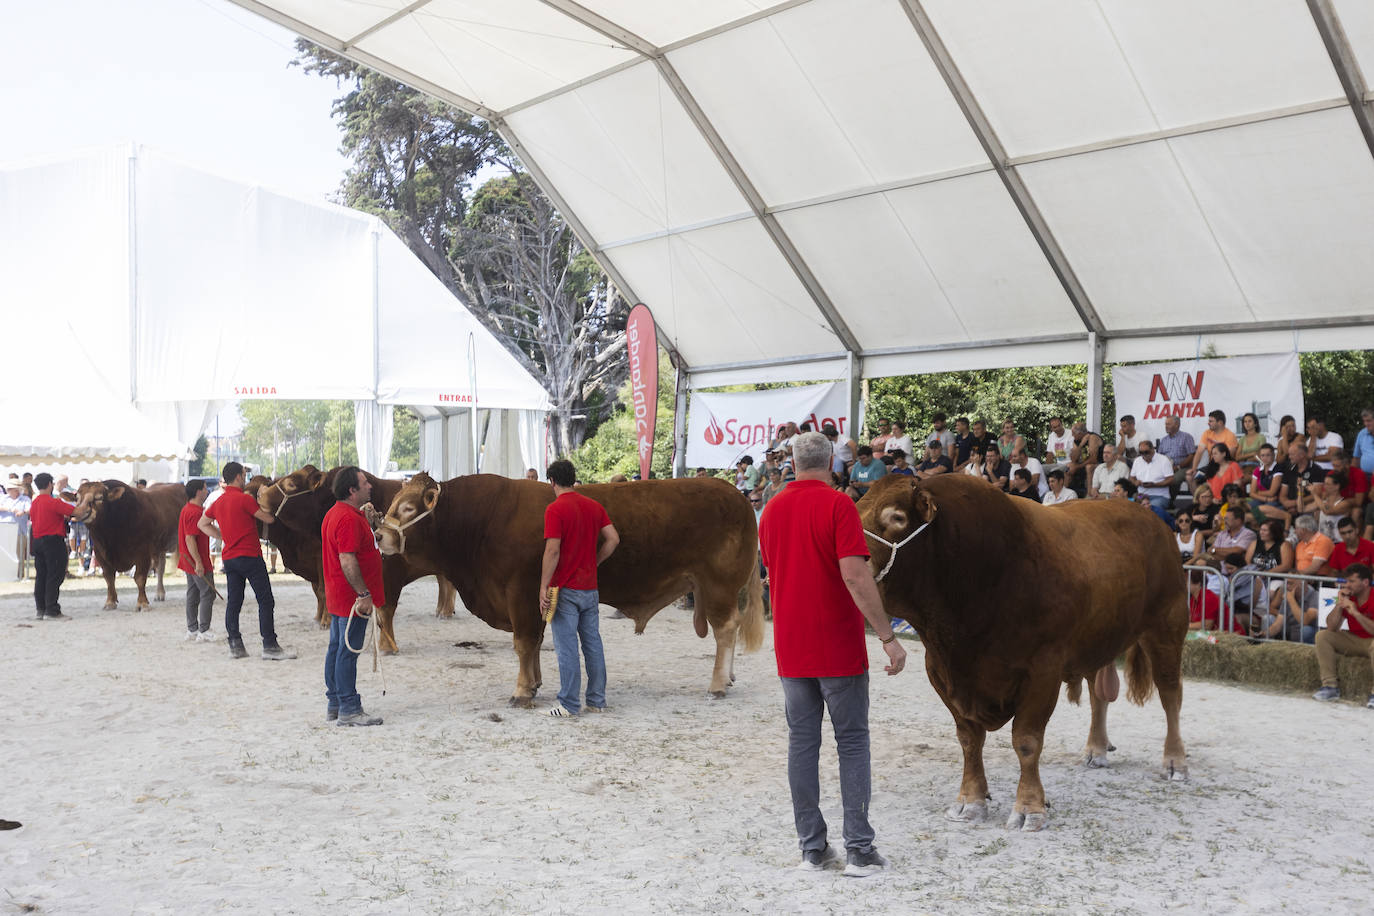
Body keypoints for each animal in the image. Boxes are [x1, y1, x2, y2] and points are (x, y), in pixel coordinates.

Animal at [71, 480, 188, 609]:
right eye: (77, 498)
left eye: (99, 497)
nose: (80, 512)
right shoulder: (99, 553)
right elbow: (109, 577)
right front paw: (110, 602)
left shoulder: (143, 552)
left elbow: (140, 578)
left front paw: (142, 603)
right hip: (160, 546)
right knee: (161, 567)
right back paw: (159, 593)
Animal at [262, 466, 461, 650]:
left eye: (290, 483)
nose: (261, 494)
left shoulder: (391, 568)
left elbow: (384, 606)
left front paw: (386, 645)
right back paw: (442, 610)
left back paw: (445, 611)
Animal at [376, 469, 763, 708]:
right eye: (393, 503)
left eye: (408, 507)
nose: (379, 535)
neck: (483, 520)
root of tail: (737, 496)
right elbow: (534, 643)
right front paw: (534, 684)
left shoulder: (520, 592)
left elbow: (523, 642)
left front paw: (521, 691)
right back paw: (728, 678)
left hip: (718, 584)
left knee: (726, 629)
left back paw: (717, 684)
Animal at [857, 477, 1192, 834]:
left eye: (897, 517)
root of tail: (1151, 518)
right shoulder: (939, 670)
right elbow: (968, 739)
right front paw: (970, 801)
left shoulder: (1042, 671)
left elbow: (1027, 740)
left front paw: (1029, 808)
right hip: (1099, 635)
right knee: (1098, 693)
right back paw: (1096, 748)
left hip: (1167, 625)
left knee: (1170, 694)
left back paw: (1175, 762)